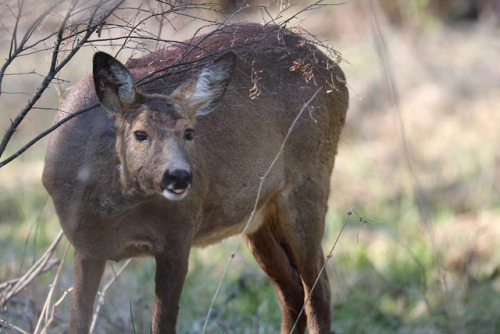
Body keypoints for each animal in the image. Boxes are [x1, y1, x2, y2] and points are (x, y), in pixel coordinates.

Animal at [42, 22, 348, 332]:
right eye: (140, 133)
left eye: (189, 132)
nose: (179, 176)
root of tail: (335, 69)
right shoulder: (86, 247)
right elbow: (77, 321)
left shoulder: (178, 234)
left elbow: (163, 323)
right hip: (257, 215)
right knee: (292, 291)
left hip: (310, 180)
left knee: (319, 290)